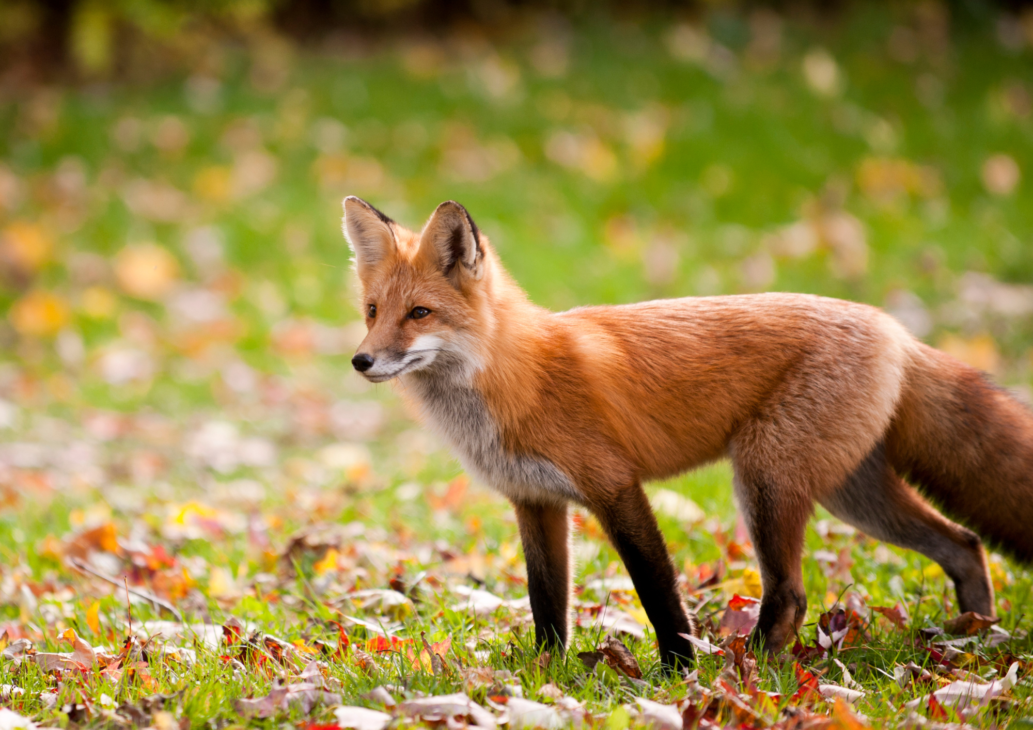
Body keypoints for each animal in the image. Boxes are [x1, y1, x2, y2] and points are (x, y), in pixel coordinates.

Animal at [345, 194, 1033, 669]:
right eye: (373, 312)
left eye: (420, 313)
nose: (362, 361)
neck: (514, 375)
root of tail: (894, 327)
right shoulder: (535, 501)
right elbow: (548, 604)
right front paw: (547, 672)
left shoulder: (614, 486)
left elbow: (657, 590)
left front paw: (678, 671)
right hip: (851, 494)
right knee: (964, 544)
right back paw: (973, 637)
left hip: (765, 480)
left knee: (791, 595)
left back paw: (749, 671)